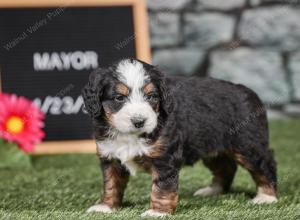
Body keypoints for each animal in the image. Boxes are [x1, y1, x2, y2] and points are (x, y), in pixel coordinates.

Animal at [81, 58, 276, 217]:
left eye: (152, 96)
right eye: (119, 98)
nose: (139, 121)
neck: (131, 135)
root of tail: (249, 92)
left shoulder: (165, 158)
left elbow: (162, 187)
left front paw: (158, 212)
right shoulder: (110, 156)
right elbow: (111, 184)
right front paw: (106, 206)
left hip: (248, 145)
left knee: (265, 165)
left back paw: (266, 197)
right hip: (211, 146)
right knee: (225, 167)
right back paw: (212, 190)